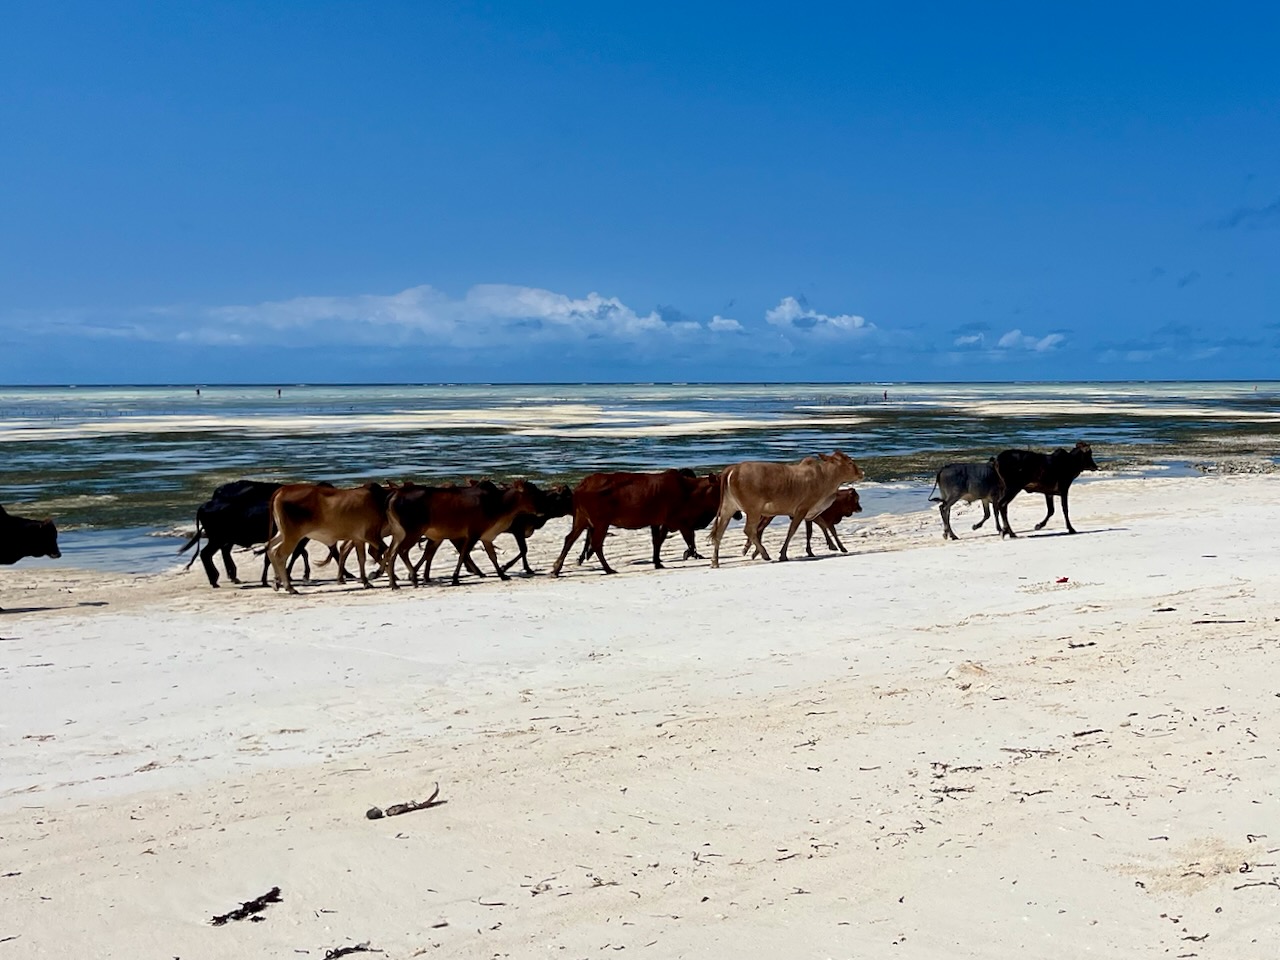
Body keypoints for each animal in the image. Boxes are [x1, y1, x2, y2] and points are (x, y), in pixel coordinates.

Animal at [179, 480, 323, 587]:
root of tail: (205, 505)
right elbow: (295, 554)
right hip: (217, 539)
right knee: (206, 554)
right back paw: (215, 579)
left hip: (223, 539)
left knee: (218, 552)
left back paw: (229, 577)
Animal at [384, 479, 546, 588]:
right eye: (532, 493)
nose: (542, 510)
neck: (499, 505)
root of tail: (395, 495)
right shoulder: (473, 533)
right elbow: (463, 555)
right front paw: (455, 578)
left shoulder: (486, 536)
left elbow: (492, 556)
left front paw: (502, 574)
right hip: (413, 531)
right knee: (401, 551)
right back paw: (410, 579)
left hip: (399, 533)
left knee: (390, 552)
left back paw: (396, 583)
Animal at [551, 469, 723, 576]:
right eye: (719, 488)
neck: (691, 493)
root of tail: (580, 487)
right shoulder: (677, 520)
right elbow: (689, 541)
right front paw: (688, 554)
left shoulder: (658, 521)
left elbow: (657, 542)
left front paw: (657, 562)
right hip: (600, 521)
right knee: (596, 544)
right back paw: (608, 569)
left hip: (581, 518)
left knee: (570, 539)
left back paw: (556, 569)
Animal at [710, 452, 864, 567]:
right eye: (850, 463)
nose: (861, 473)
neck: (825, 480)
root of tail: (732, 469)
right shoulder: (802, 508)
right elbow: (792, 530)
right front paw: (783, 554)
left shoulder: (810, 512)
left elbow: (824, 525)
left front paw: (837, 546)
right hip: (753, 509)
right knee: (749, 530)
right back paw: (764, 554)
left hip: (728, 508)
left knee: (719, 533)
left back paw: (715, 562)